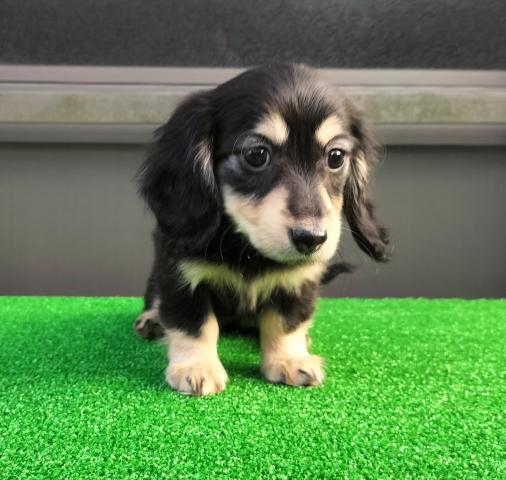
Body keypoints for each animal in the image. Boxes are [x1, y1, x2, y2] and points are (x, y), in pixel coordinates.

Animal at [134, 64, 389, 395]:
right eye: (256, 155)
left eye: (336, 157)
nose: (312, 239)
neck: (247, 251)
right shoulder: (180, 275)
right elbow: (194, 322)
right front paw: (196, 367)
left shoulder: (300, 280)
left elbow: (285, 322)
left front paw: (289, 360)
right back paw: (152, 320)